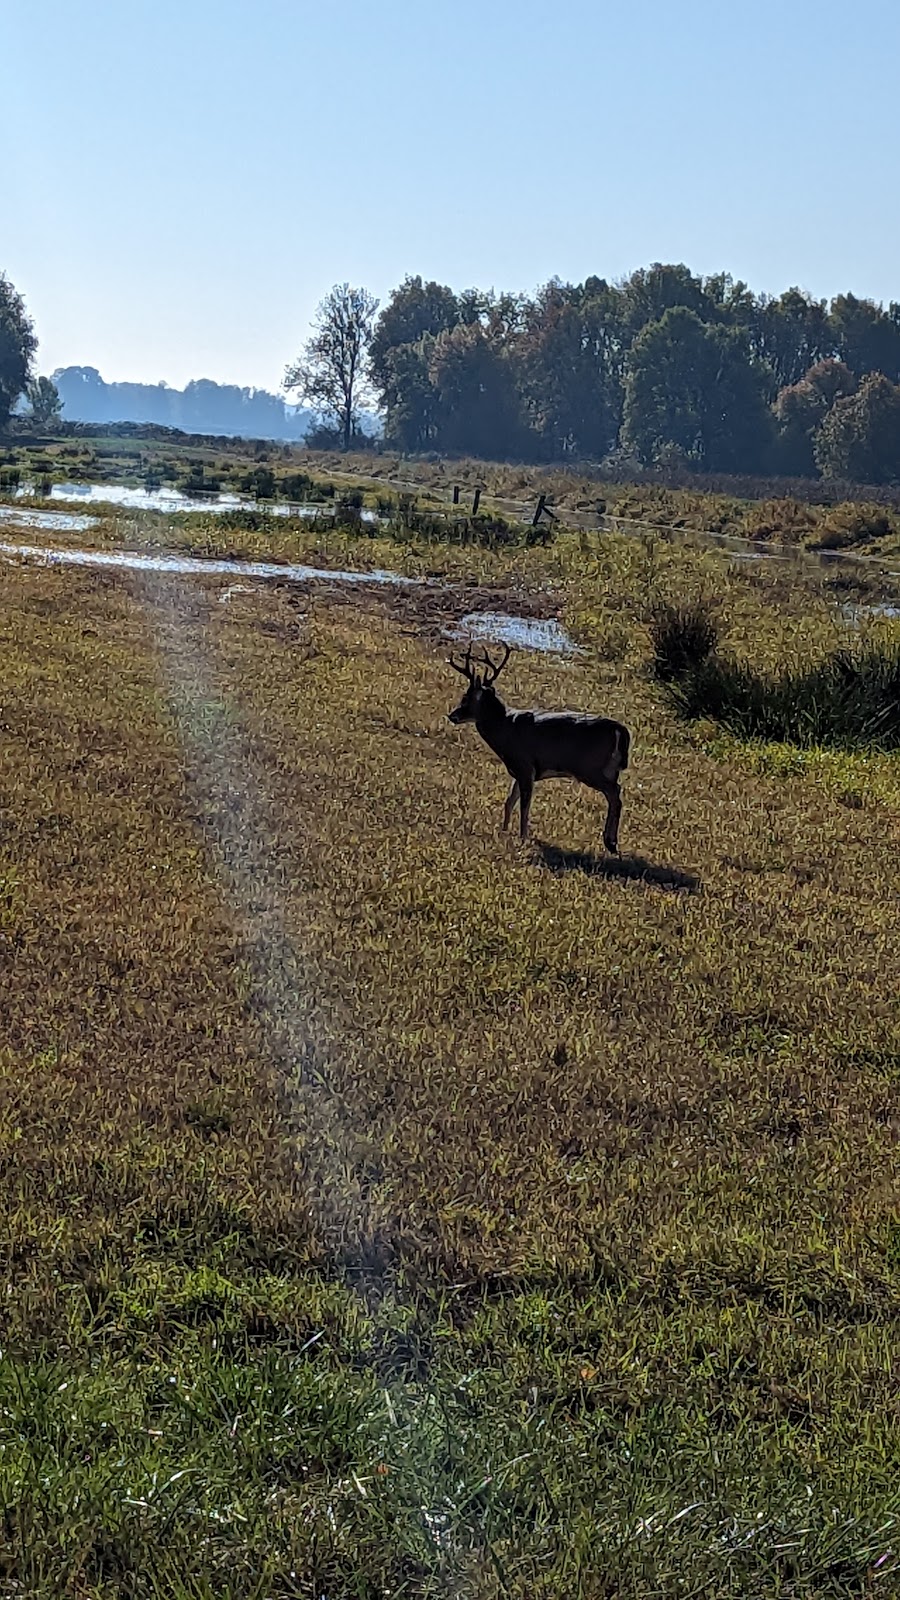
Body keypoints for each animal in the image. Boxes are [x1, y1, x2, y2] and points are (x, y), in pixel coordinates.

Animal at [445, 643, 627, 857]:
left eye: (466, 698)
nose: (452, 715)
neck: (504, 727)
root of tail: (620, 729)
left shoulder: (525, 765)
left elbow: (524, 806)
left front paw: (522, 838)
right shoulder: (518, 770)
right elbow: (509, 801)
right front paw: (503, 831)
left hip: (590, 767)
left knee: (614, 793)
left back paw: (610, 842)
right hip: (610, 769)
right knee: (615, 794)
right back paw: (611, 843)